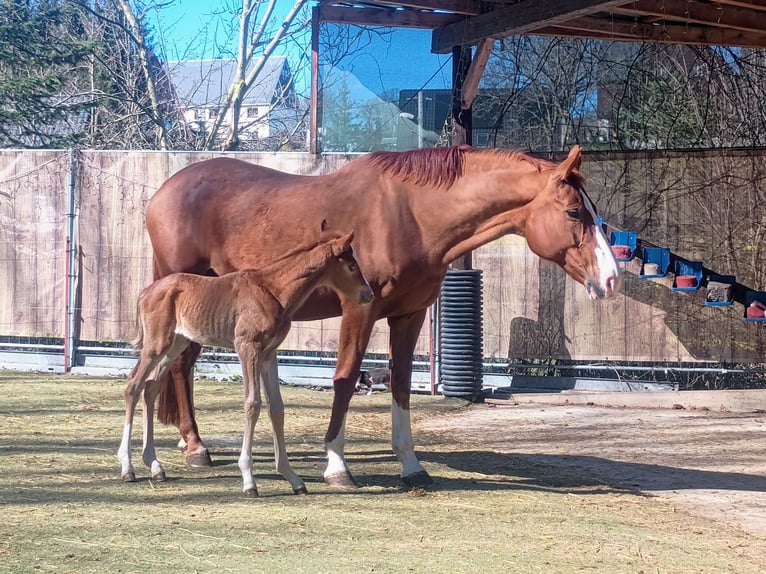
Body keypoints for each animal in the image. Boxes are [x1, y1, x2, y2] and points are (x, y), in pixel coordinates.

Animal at [117, 229, 373, 496]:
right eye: (352, 266)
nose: (369, 294)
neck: (273, 290)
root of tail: (145, 292)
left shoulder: (269, 354)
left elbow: (276, 407)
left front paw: (293, 478)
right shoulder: (247, 347)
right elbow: (253, 403)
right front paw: (249, 479)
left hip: (176, 344)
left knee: (150, 387)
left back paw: (155, 466)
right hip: (157, 345)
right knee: (133, 386)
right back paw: (128, 468)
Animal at [146, 144, 621, 489]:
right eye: (575, 212)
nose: (612, 279)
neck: (411, 214)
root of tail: (162, 192)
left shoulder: (409, 316)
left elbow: (402, 384)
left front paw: (410, 464)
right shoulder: (360, 309)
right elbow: (344, 379)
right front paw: (336, 465)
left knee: (181, 367)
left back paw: (190, 443)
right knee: (180, 367)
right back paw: (195, 447)